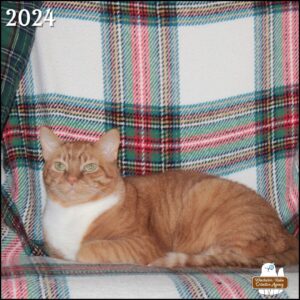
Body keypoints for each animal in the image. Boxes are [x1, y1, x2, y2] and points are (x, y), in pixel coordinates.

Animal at [41, 126, 298, 268]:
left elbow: (86, 249)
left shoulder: (143, 244)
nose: (71, 179)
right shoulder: (53, 249)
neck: (71, 212)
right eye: (60, 166)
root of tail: (285, 232)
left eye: (90, 167)